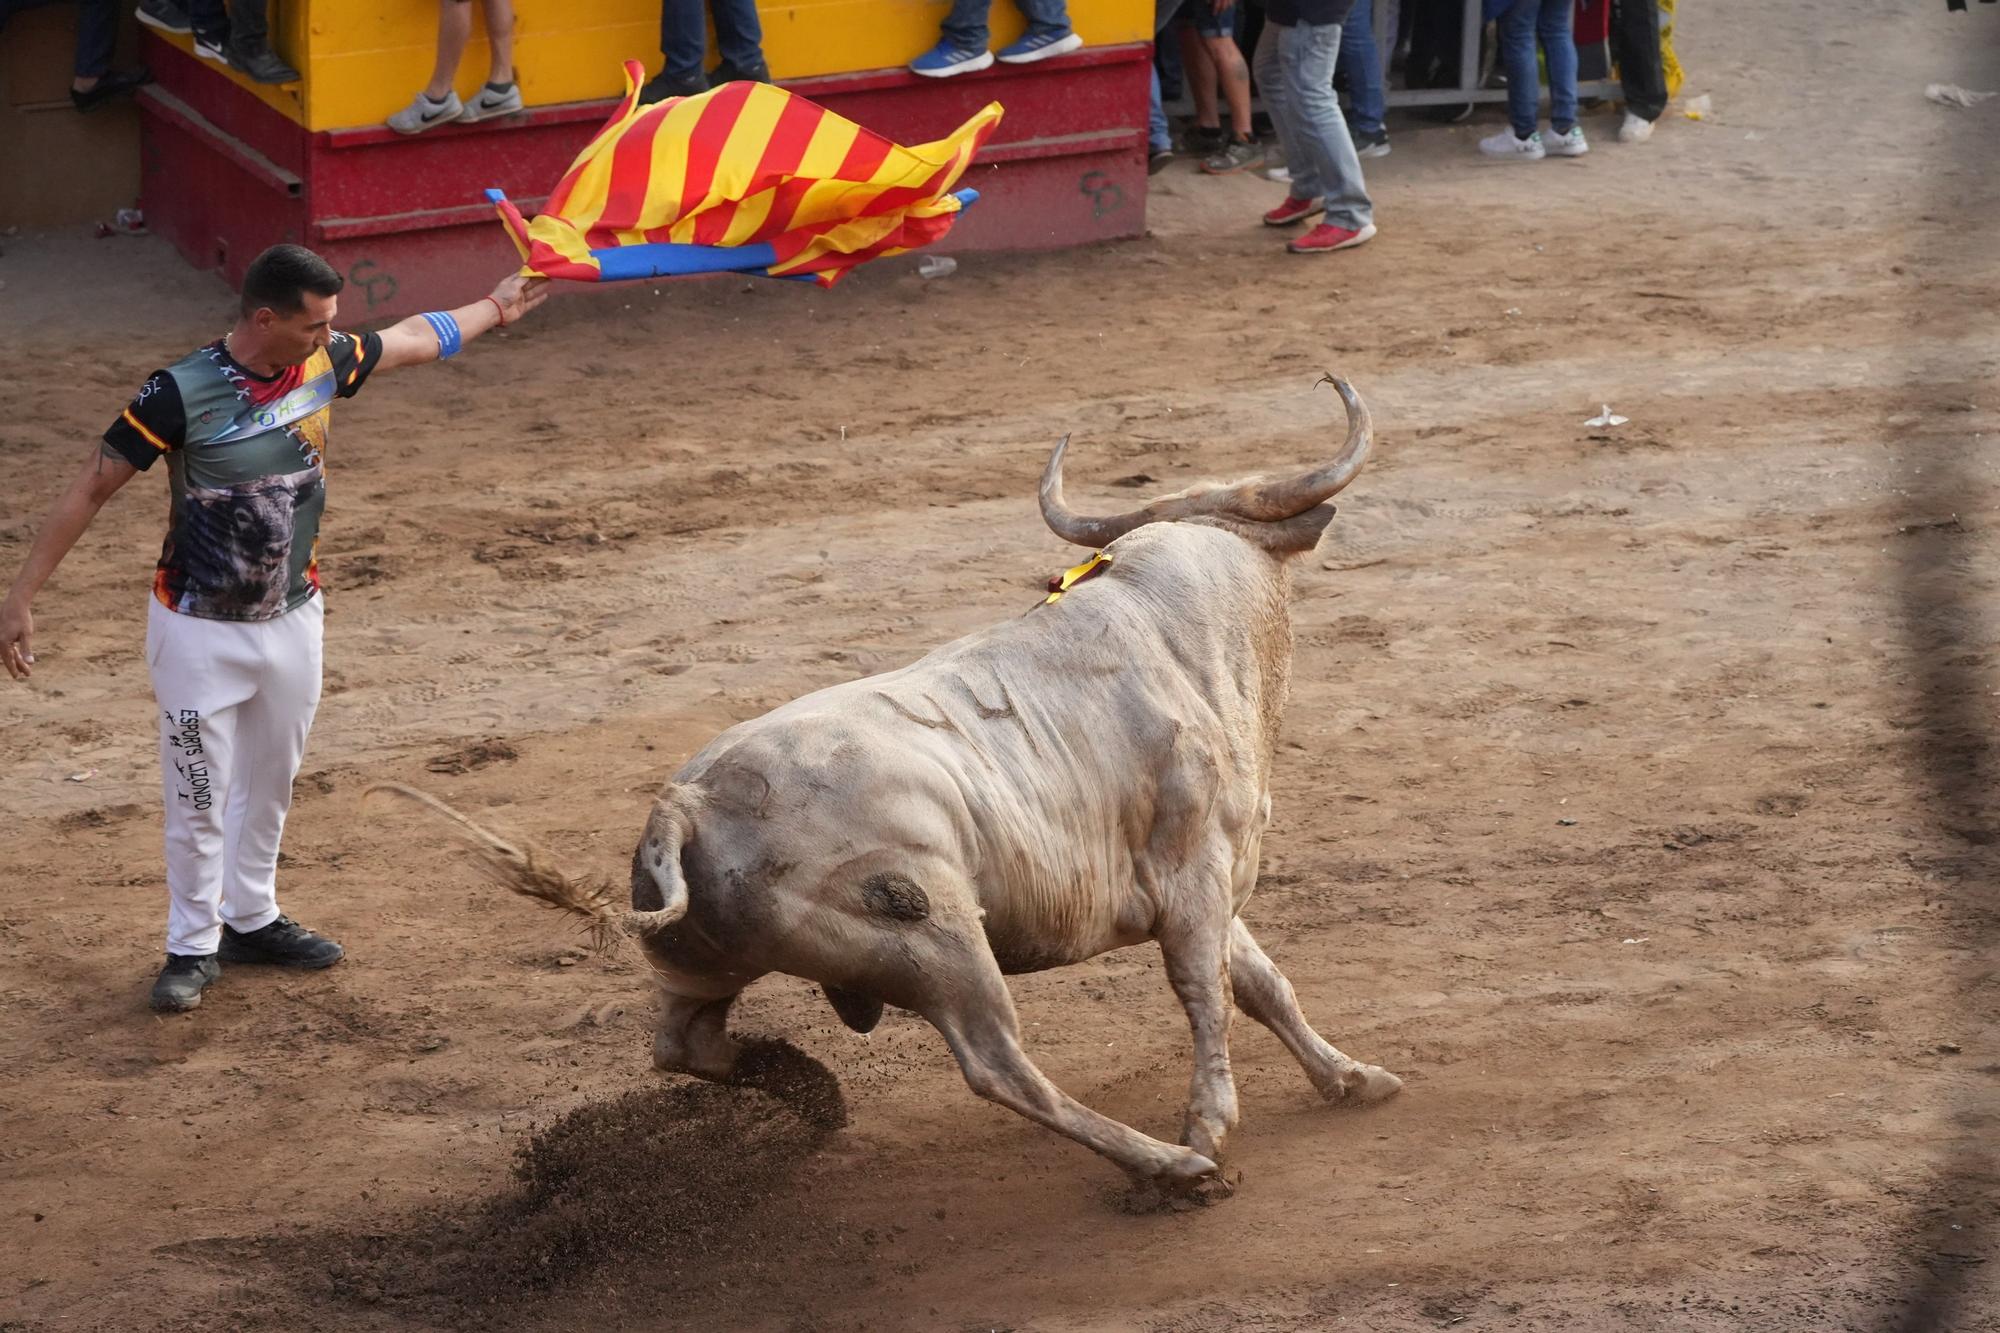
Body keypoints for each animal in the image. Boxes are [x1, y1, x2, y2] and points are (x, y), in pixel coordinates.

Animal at [378, 376, 1408, 1192]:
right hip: (939, 940)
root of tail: (689, 806)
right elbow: (1209, 989)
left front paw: (1351, 1078)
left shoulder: (1212, 881)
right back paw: (1168, 1165)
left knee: (683, 1045)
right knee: (998, 1065)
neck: (1173, 619)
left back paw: (798, 1079)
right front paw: (1211, 1123)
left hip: (698, 964)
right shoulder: (1191, 872)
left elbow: (1264, 983)